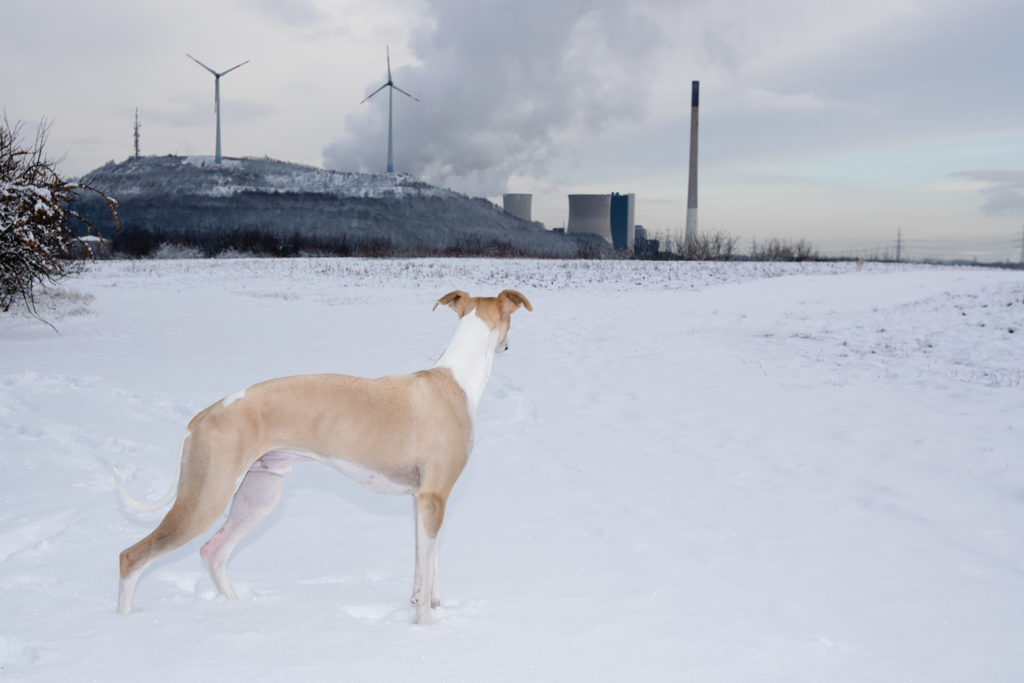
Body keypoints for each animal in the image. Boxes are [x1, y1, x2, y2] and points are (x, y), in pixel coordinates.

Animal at [116, 288, 532, 626]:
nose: (509, 346)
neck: (455, 377)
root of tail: (204, 414)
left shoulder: (423, 499)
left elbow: (424, 563)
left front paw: (426, 601)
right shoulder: (434, 497)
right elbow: (428, 567)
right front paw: (425, 627)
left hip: (259, 493)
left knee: (213, 551)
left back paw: (238, 610)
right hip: (206, 497)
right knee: (132, 557)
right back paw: (124, 625)